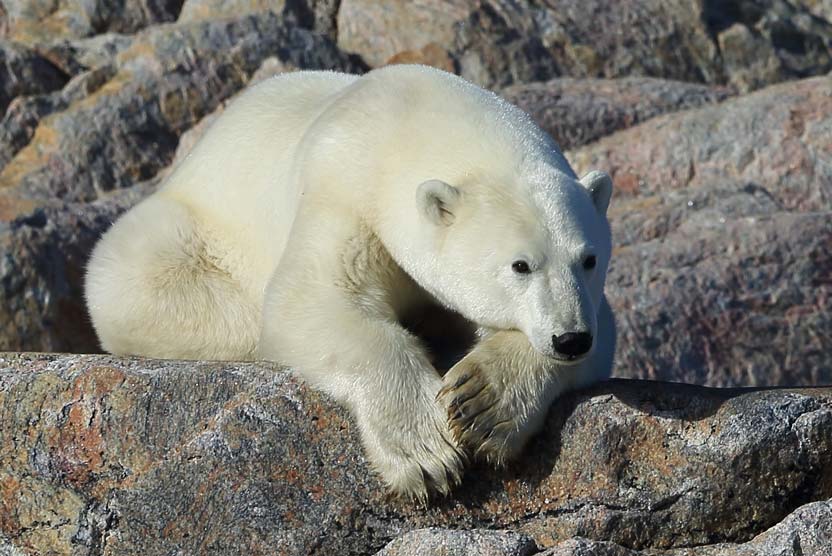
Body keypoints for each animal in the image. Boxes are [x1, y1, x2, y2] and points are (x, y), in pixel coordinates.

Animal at [85, 64, 616, 500]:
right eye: (520, 265)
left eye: (589, 259)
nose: (570, 338)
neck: (408, 117)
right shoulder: (344, 191)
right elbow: (311, 301)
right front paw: (425, 457)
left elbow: (601, 335)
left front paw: (484, 401)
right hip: (188, 232)